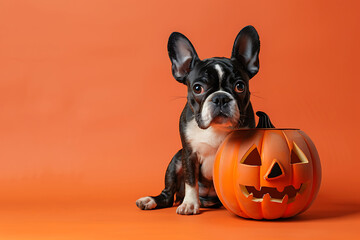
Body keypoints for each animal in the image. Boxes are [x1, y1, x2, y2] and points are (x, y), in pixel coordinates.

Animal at [136, 25, 260, 215]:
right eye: (197, 88)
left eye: (240, 86)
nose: (220, 98)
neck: (215, 129)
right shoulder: (189, 154)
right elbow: (191, 181)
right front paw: (189, 204)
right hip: (176, 159)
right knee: (167, 196)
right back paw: (151, 200)